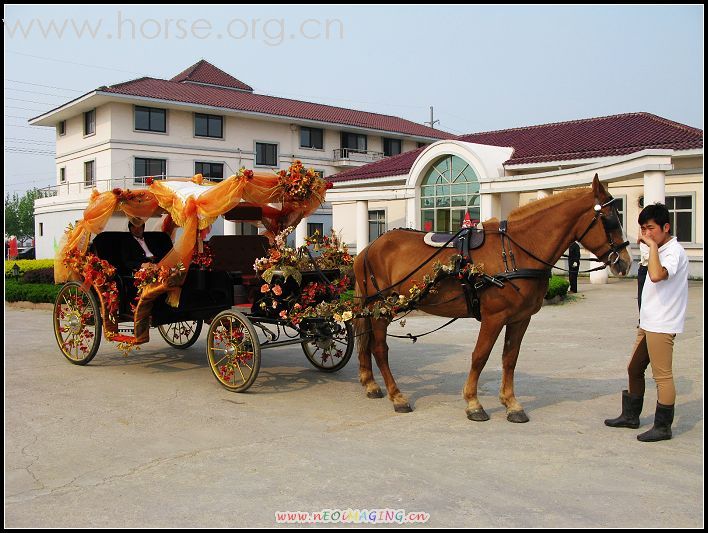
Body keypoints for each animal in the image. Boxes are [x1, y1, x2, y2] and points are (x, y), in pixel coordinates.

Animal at [352, 175, 632, 420]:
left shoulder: (520, 319)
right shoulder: (493, 317)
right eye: (609, 219)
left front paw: (511, 403)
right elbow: (480, 355)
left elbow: (510, 358)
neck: (517, 249)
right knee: (380, 348)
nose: (625, 263)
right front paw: (473, 402)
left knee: (368, 343)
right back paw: (397, 396)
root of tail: (369, 248)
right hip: (382, 307)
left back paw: (372, 384)